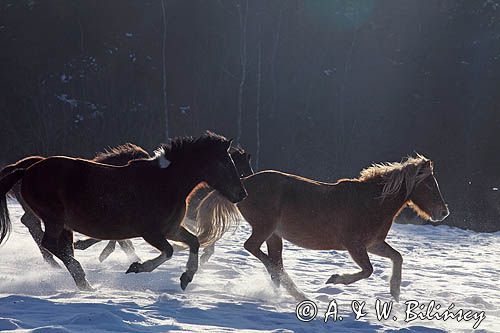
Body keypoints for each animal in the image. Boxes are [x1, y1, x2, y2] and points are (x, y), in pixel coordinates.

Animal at [194, 154, 450, 300]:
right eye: (429, 184)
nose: (443, 212)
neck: (371, 202)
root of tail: (245, 184)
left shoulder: (374, 244)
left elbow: (397, 257)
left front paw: (395, 293)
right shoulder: (355, 246)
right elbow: (368, 270)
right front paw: (334, 279)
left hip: (274, 235)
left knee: (272, 259)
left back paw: (287, 291)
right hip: (265, 228)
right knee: (256, 250)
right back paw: (293, 289)